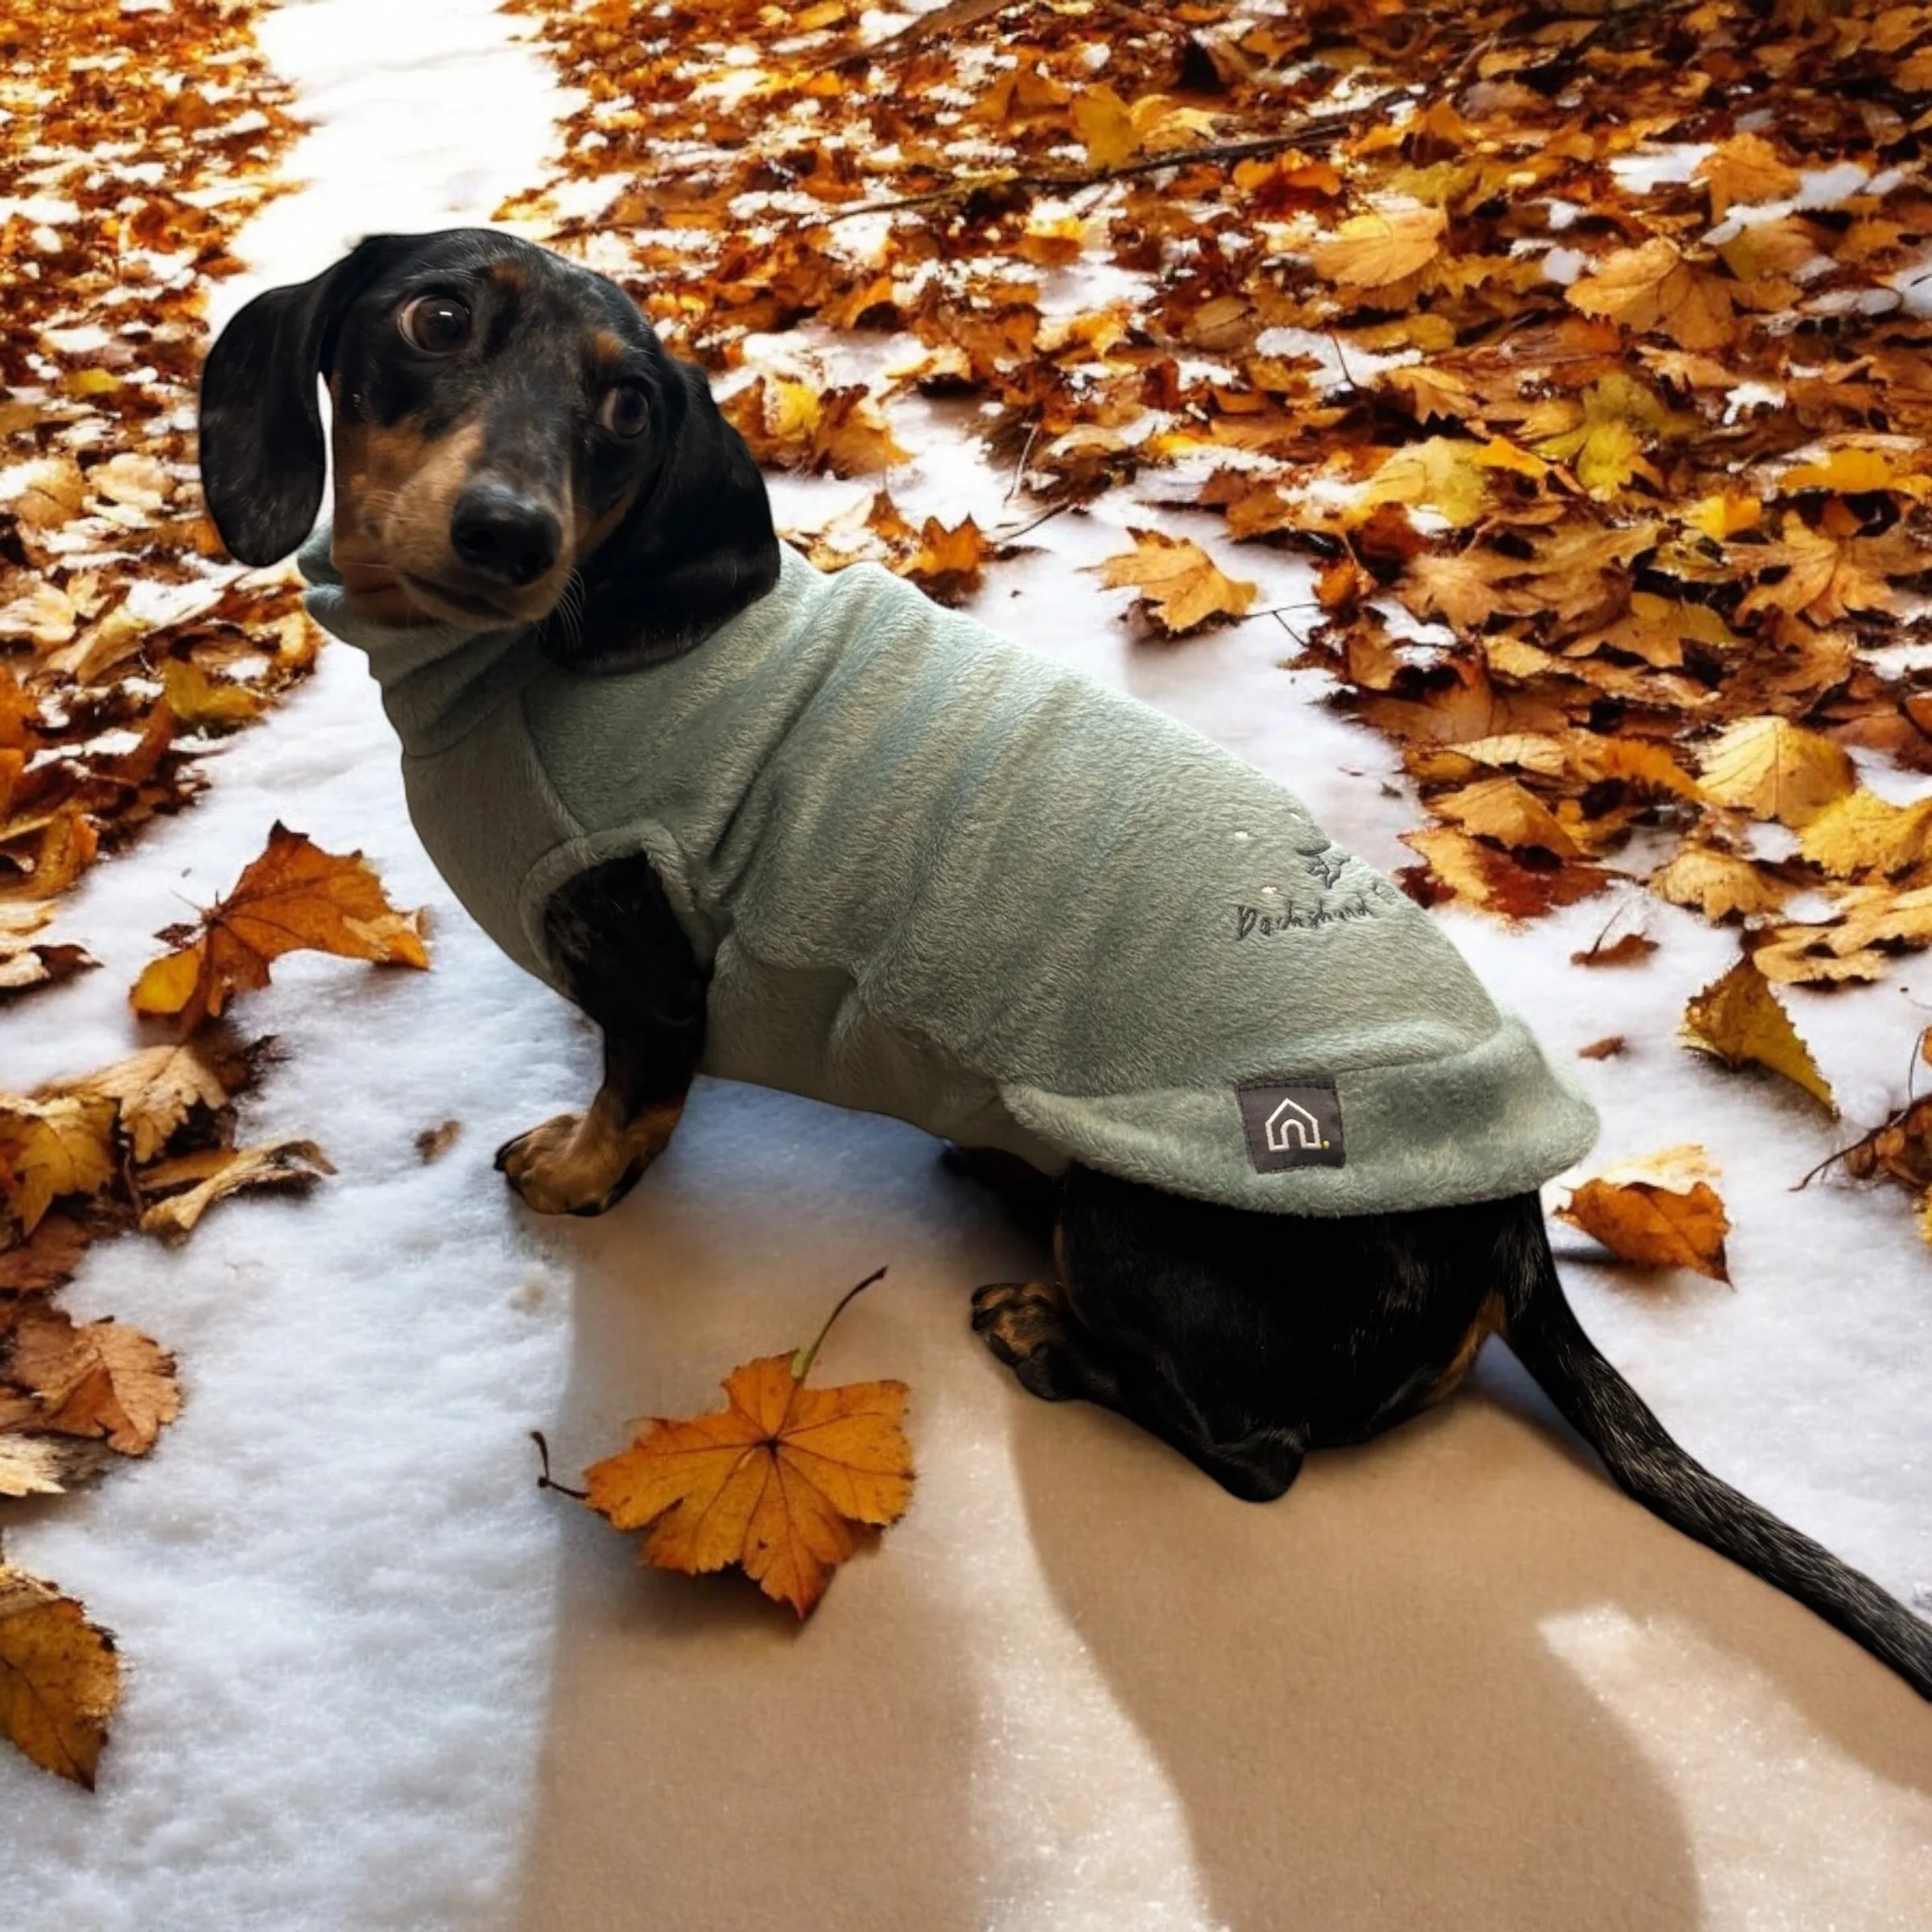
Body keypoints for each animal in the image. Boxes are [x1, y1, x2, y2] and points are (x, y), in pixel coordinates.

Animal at [200, 233, 1932, 1700]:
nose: (511, 535)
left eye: (626, 404)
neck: (520, 666)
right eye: (435, 320)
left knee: (1256, 1450)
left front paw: (571, 1168)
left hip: (1135, 1212)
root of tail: (1500, 1215)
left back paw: (1047, 1335)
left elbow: (635, 1101)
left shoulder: (651, 961)